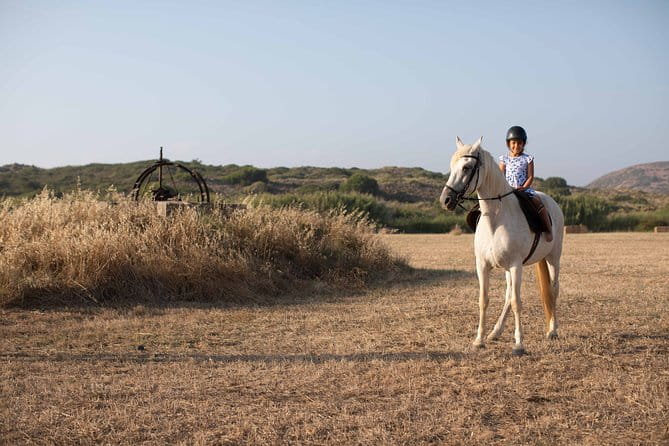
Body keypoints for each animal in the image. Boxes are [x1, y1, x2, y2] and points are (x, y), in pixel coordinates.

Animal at [439, 136, 564, 355]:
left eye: (466, 167)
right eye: (452, 166)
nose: (446, 200)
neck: (496, 219)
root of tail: (552, 203)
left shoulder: (516, 265)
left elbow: (516, 302)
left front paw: (519, 344)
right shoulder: (482, 265)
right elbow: (484, 300)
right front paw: (479, 340)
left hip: (553, 258)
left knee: (553, 289)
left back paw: (552, 330)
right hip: (508, 268)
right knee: (508, 295)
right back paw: (495, 332)